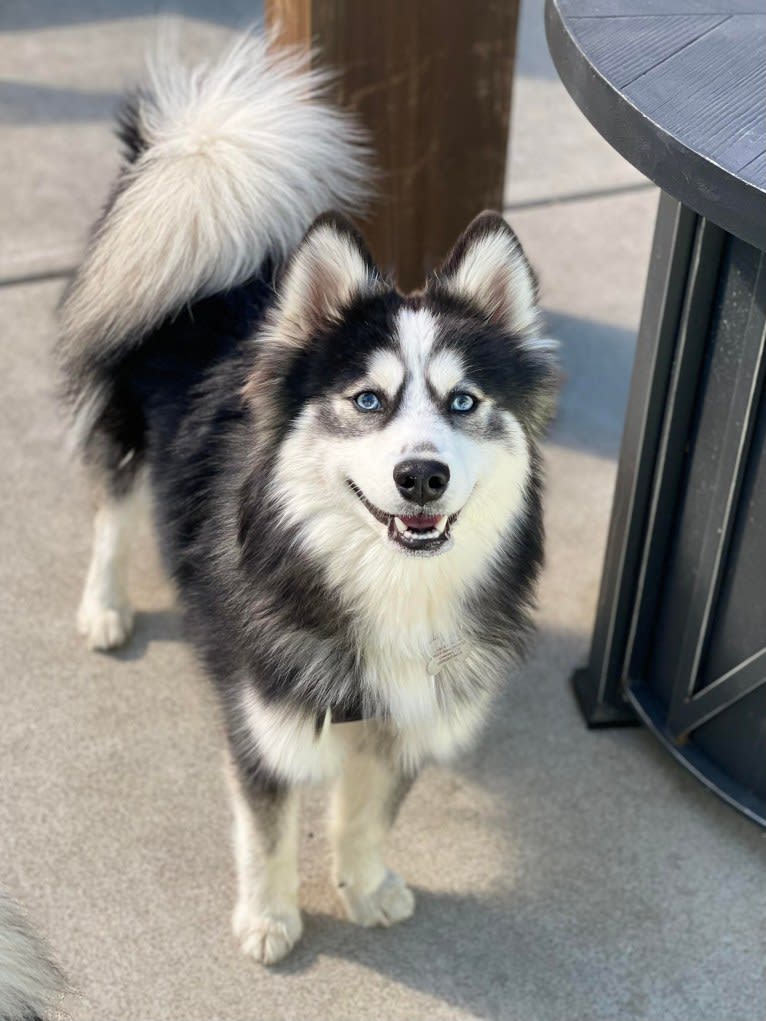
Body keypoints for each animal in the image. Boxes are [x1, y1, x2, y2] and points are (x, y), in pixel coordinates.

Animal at [55, 33, 559, 963]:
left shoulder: (401, 718)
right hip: (127, 430)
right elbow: (268, 831)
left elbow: (367, 815)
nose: (422, 476)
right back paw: (103, 606)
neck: (385, 587)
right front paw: (269, 917)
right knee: (114, 512)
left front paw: (363, 885)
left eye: (463, 401)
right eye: (368, 399)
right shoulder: (265, 720)